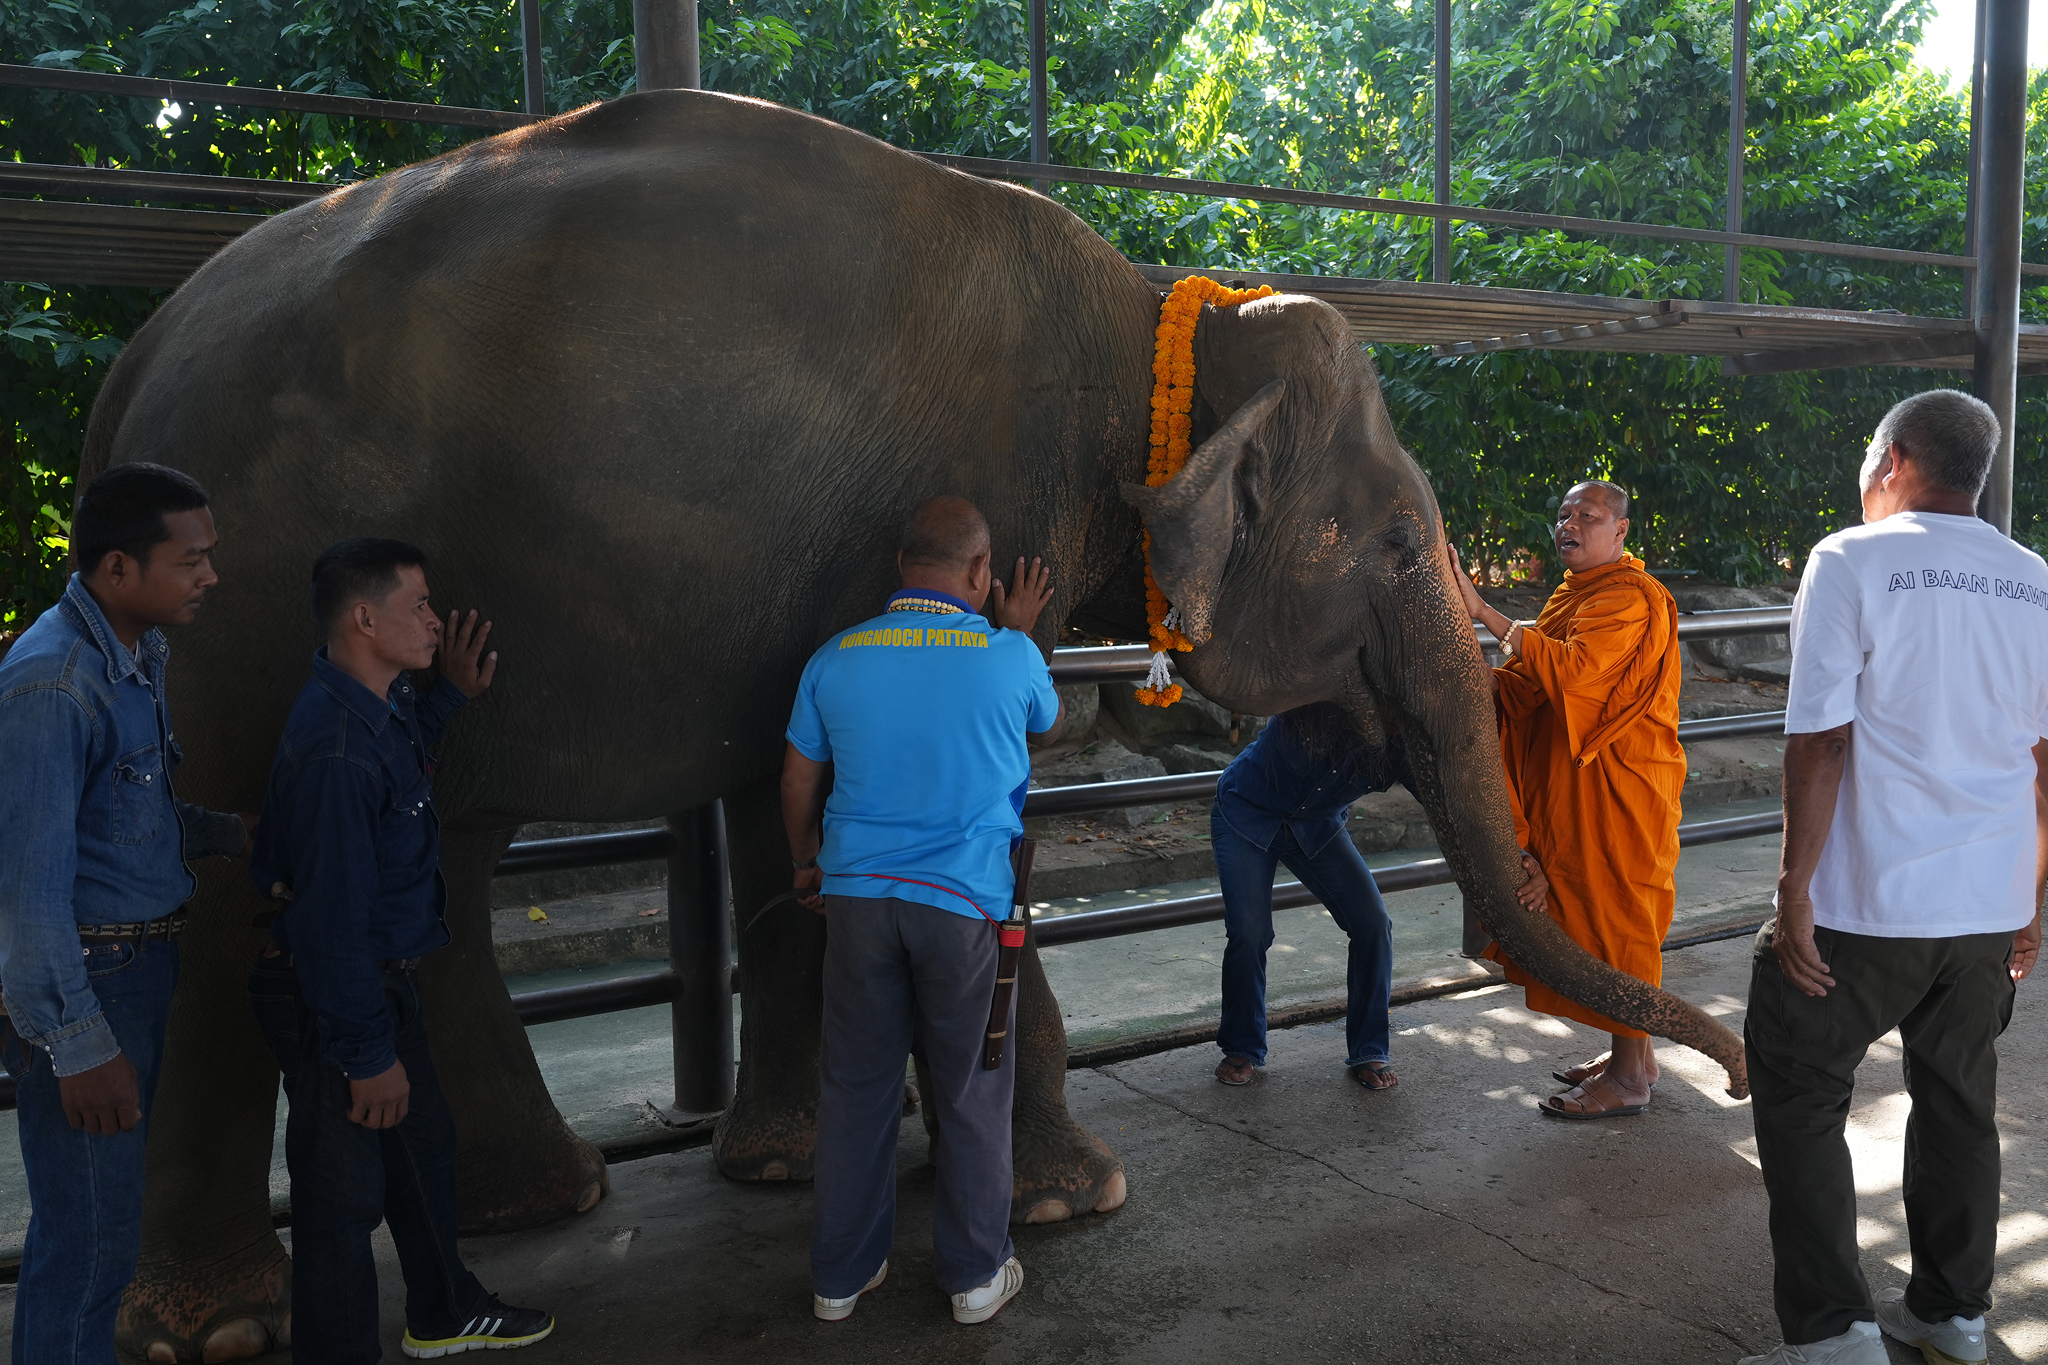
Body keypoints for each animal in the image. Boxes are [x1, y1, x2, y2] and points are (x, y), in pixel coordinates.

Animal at [70, 87, 1749, 1360]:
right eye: (1398, 545)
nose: (1733, 1075)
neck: (1158, 311)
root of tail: (133, 370)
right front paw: (1073, 1201)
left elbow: (790, 797)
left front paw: (797, 1166)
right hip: (250, 589)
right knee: (238, 879)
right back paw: (227, 1323)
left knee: (450, 849)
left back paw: (541, 1209)